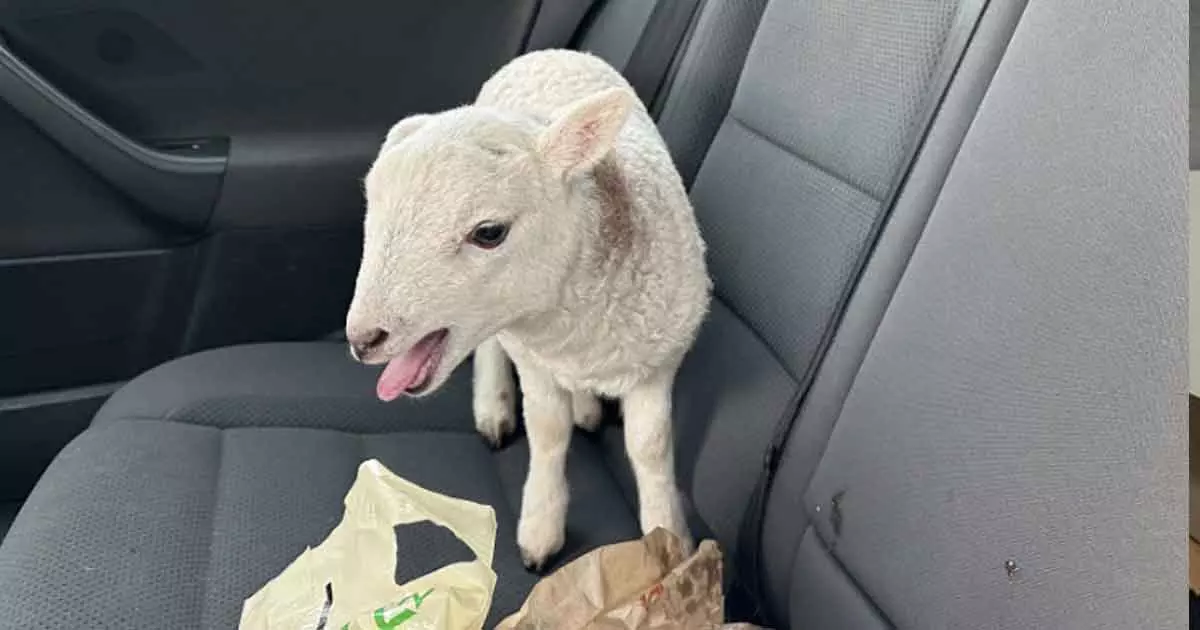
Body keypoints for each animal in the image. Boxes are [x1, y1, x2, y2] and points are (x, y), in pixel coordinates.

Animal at [344, 50, 711, 570]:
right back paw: (495, 404)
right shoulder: (533, 358)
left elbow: (650, 446)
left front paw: (669, 540)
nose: (363, 338)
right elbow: (548, 431)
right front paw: (541, 528)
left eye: (489, 232)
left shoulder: (658, 360)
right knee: (493, 347)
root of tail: (553, 52)